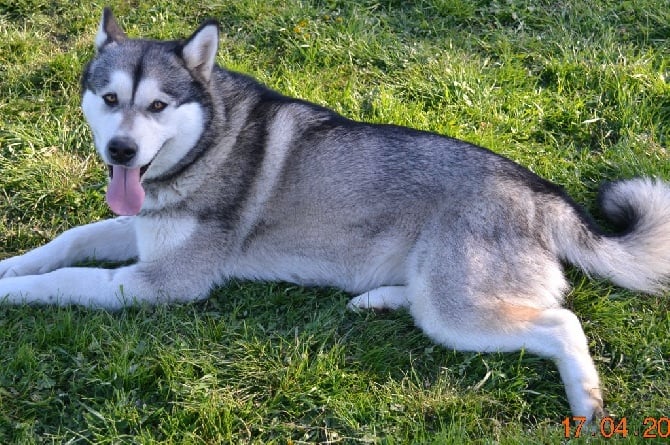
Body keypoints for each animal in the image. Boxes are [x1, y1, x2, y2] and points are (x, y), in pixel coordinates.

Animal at [1, 8, 670, 422]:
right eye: (110, 98)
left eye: (158, 106)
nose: (121, 151)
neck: (209, 141)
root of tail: (539, 192)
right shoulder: (139, 229)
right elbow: (69, 241)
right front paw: (11, 266)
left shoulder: (164, 281)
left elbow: (69, 280)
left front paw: (12, 292)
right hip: (442, 293)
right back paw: (376, 300)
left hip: (457, 308)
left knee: (561, 323)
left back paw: (586, 402)